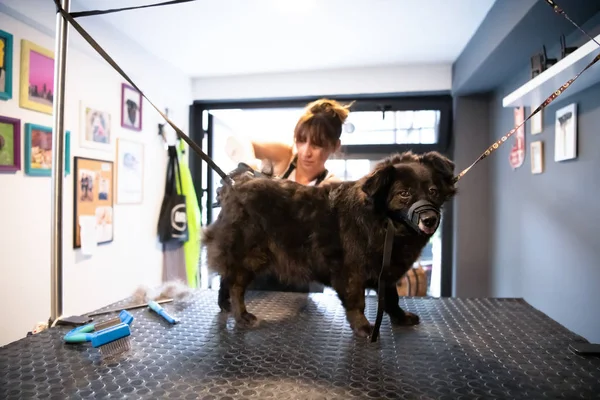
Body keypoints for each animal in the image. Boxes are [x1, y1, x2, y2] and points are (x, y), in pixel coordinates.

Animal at [204, 150, 458, 338]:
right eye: (404, 194)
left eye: (433, 191)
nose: (430, 219)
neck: (384, 223)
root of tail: (233, 187)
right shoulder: (351, 273)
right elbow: (357, 302)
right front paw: (363, 327)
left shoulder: (384, 273)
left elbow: (391, 298)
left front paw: (400, 317)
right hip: (250, 256)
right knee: (236, 286)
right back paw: (241, 315)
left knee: (226, 279)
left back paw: (226, 306)